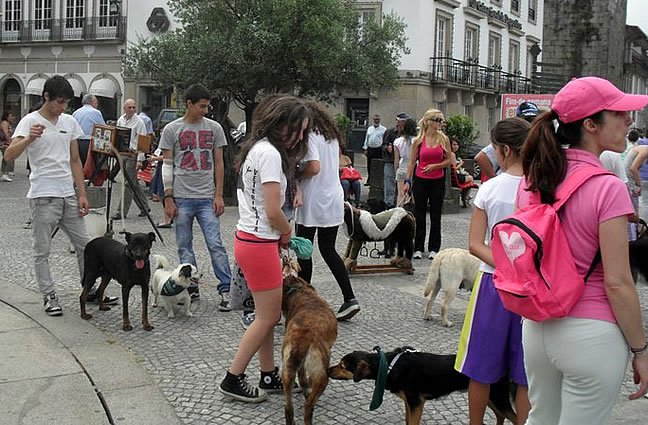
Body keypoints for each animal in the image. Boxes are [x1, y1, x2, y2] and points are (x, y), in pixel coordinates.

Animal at [280, 253, 336, 422]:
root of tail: (302, 338)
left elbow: (302, 376)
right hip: (322, 374)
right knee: (308, 405)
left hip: (287, 369)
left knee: (289, 407)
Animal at [330, 346, 516, 422]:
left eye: (342, 366)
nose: (328, 370)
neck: (390, 365)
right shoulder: (409, 403)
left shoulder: (416, 403)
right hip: (489, 398)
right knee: (501, 416)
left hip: (498, 397)